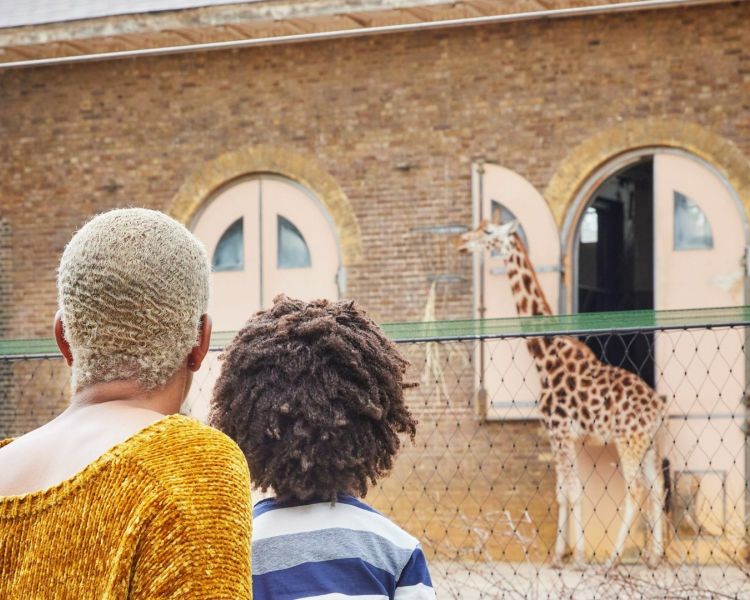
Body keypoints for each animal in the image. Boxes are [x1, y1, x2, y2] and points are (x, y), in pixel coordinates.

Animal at [458, 220, 667, 568]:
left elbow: (572, 490)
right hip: (649, 443)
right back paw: (654, 556)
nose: (461, 242)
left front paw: (577, 556)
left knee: (636, 488)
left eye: (488, 232)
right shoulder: (562, 435)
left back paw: (613, 559)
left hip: (629, 440)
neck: (545, 356)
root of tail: (659, 408)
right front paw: (558, 555)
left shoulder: (559, 431)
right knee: (657, 488)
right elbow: (561, 491)